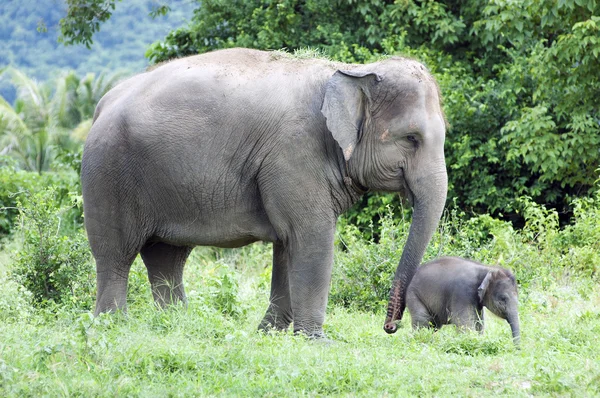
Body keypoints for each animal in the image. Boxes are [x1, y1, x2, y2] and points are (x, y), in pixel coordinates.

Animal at [81, 48, 446, 338]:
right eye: (412, 138)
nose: (390, 327)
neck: (351, 70)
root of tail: (102, 104)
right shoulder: (294, 155)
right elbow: (311, 238)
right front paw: (316, 342)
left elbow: (288, 245)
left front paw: (268, 334)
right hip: (108, 173)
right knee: (116, 255)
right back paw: (112, 326)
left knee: (166, 257)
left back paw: (178, 326)